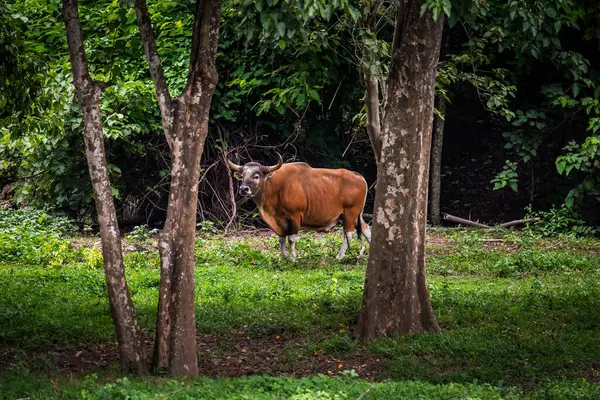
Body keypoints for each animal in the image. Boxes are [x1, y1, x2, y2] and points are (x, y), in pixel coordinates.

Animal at [226, 153, 370, 260]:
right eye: (242, 176)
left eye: (256, 176)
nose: (244, 189)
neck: (276, 188)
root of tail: (359, 176)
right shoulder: (279, 220)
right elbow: (281, 239)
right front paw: (284, 257)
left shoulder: (295, 216)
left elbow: (291, 239)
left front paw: (294, 258)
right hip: (356, 214)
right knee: (366, 228)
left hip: (350, 213)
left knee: (349, 233)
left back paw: (339, 256)